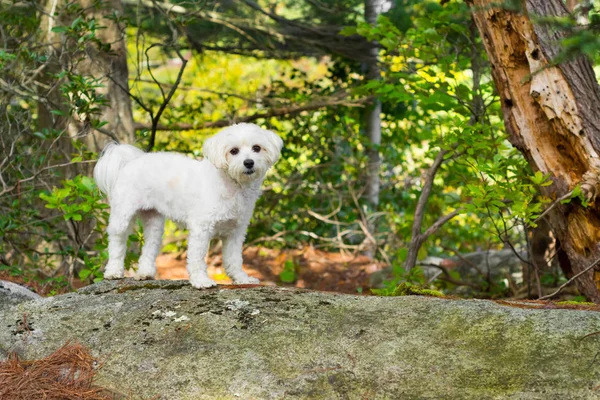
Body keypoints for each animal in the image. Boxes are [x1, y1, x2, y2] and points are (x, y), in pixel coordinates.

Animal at [93, 123, 284, 290]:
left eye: (257, 148)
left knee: (149, 246)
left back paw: (145, 273)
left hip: (154, 222)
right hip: (123, 215)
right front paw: (201, 281)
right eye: (234, 151)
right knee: (117, 242)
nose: (249, 162)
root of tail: (131, 160)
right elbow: (197, 257)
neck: (232, 185)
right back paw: (113, 271)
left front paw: (242, 278)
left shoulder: (235, 232)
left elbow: (234, 259)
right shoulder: (201, 228)